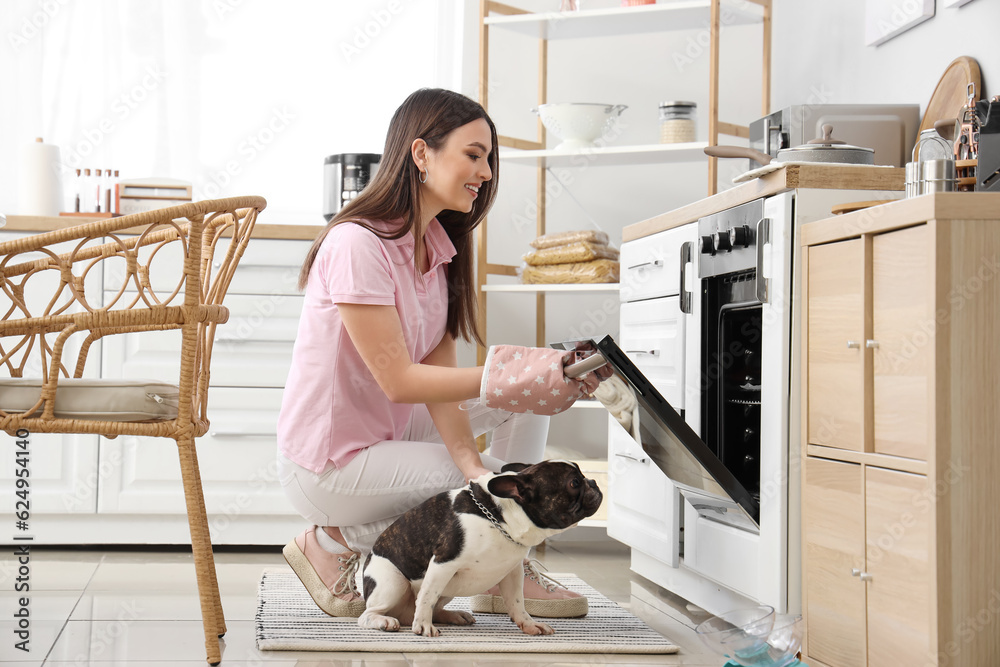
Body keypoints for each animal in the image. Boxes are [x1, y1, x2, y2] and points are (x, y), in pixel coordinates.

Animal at [358, 460, 600, 636]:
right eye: (574, 483)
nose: (594, 481)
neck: (499, 519)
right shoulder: (444, 562)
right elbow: (426, 596)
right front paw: (423, 626)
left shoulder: (512, 571)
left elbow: (517, 602)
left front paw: (529, 624)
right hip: (393, 583)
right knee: (369, 614)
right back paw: (385, 620)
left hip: (447, 590)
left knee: (435, 607)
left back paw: (452, 616)